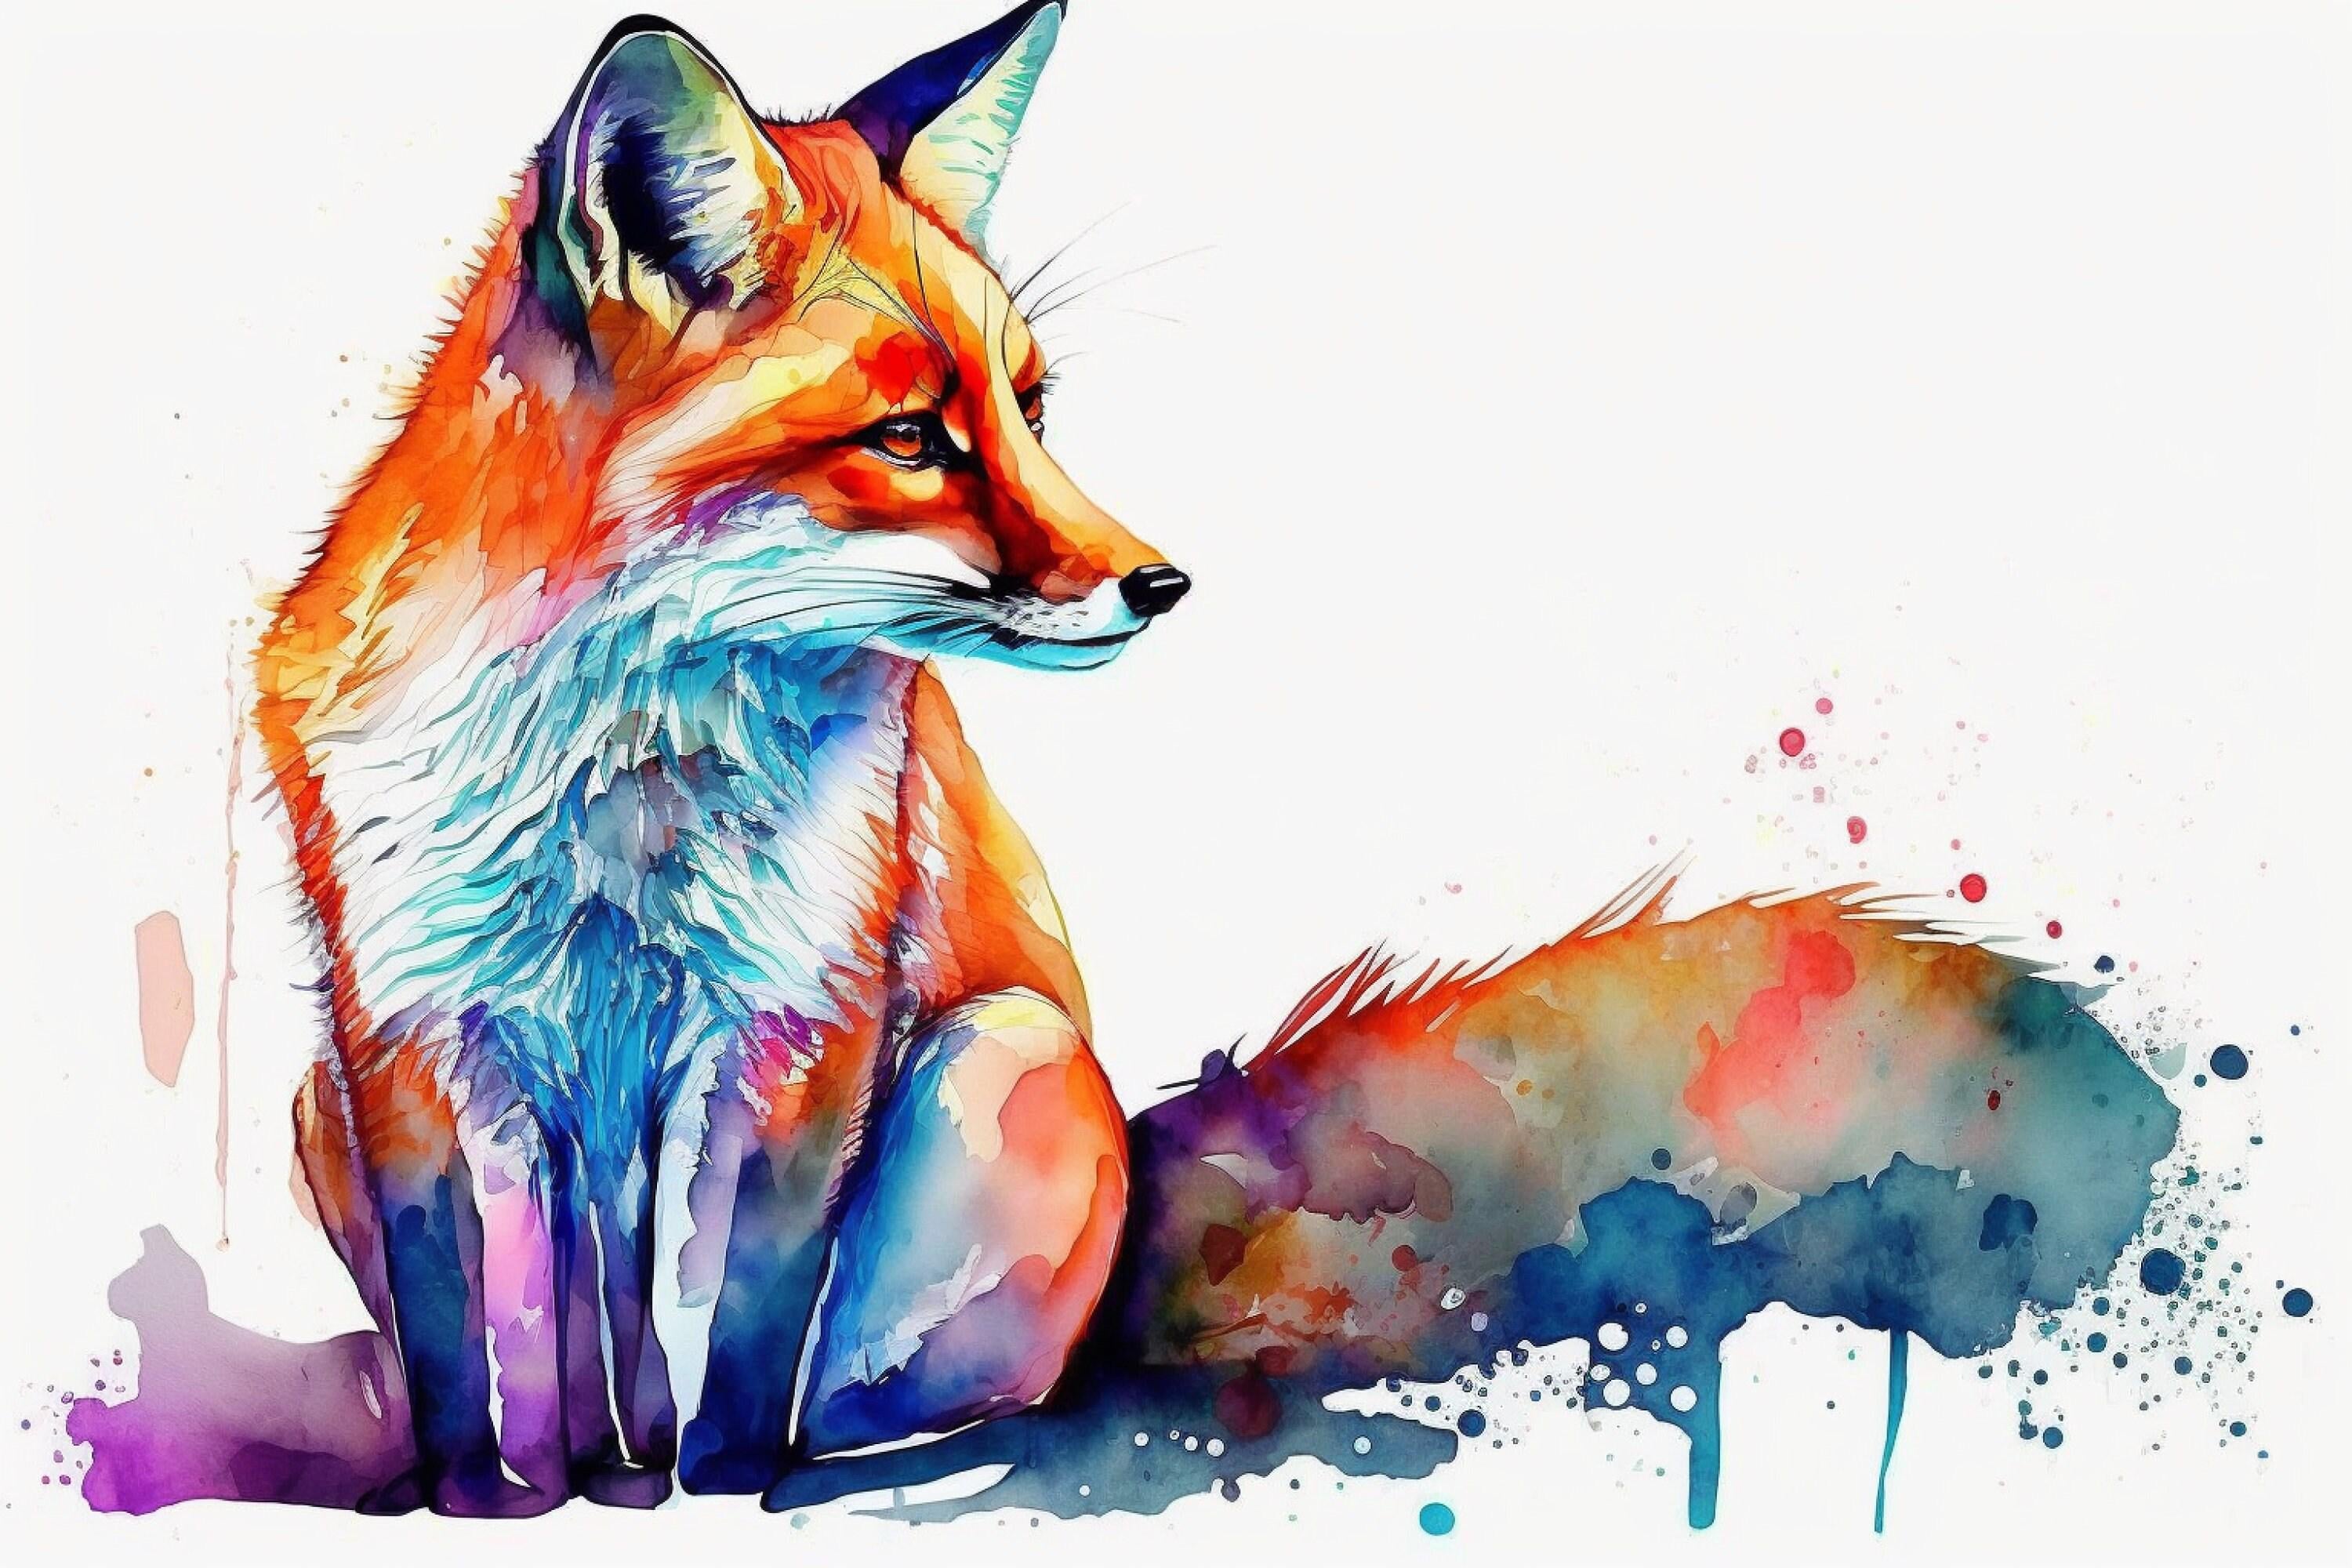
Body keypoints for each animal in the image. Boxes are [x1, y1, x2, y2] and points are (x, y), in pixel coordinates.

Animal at [251, 0, 2173, 1524]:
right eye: (911, 437)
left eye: (1032, 409)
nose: (1159, 582)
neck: (620, 791)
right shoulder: (414, 1037)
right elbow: (469, 1355)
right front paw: (488, 1502)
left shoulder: (795, 1032)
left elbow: (732, 1366)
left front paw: (706, 1503)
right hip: (313, 1105)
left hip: (1000, 1057)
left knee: (930, 1404)